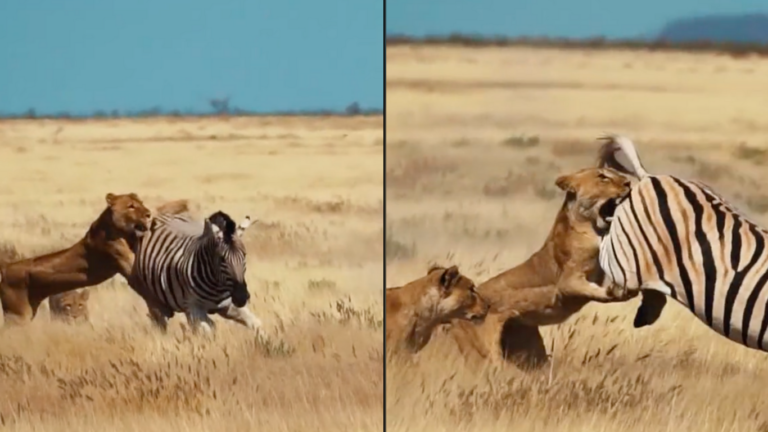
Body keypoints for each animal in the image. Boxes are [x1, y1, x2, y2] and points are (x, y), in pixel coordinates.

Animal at [131, 209, 260, 334]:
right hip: (154, 298)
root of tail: (163, 215)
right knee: (159, 320)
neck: (216, 286)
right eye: (222, 259)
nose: (242, 297)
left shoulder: (229, 306)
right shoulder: (194, 309)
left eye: (244, 255)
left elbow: (256, 325)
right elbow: (208, 331)